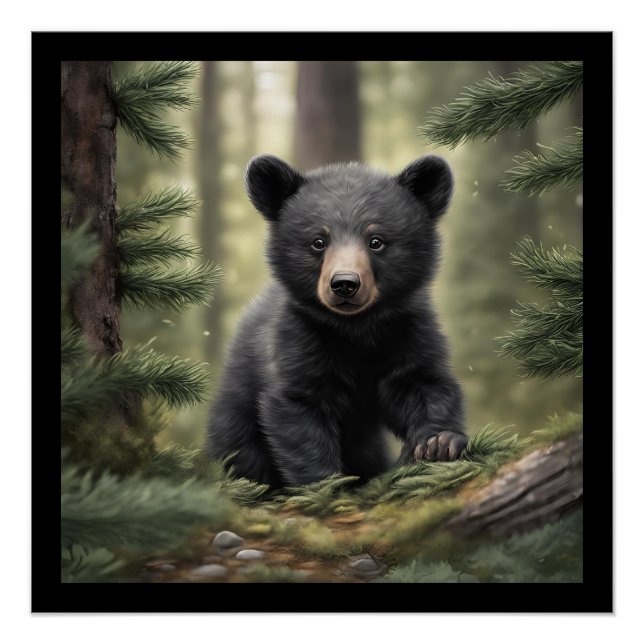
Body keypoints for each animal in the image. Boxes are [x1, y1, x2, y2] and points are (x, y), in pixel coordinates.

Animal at [206, 154, 467, 488]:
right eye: (318, 241)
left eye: (376, 240)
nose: (344, 284)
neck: (355, 329)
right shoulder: (297, 339)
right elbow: (299, 410)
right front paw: (326, 483)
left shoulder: (408, 330)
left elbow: (422, 383)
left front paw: (438, 443)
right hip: (236, 419)